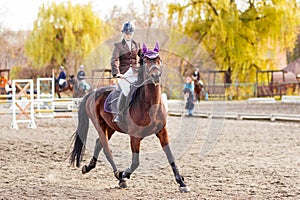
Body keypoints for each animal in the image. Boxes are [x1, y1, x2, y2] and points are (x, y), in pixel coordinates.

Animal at [69, 43, 190, 193]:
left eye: (158, 59)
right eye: (146, 60)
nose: (155, 76)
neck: (150, 105)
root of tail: (92, 93)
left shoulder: (162, 132)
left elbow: (171, 156)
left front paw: (181, 183)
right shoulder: (135, 136)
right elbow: (135, 162)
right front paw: (123, 173)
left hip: (110, 127)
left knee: (99, 143)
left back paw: (89, 167)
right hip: (100, 125)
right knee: (106, 149)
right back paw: (119, 177)